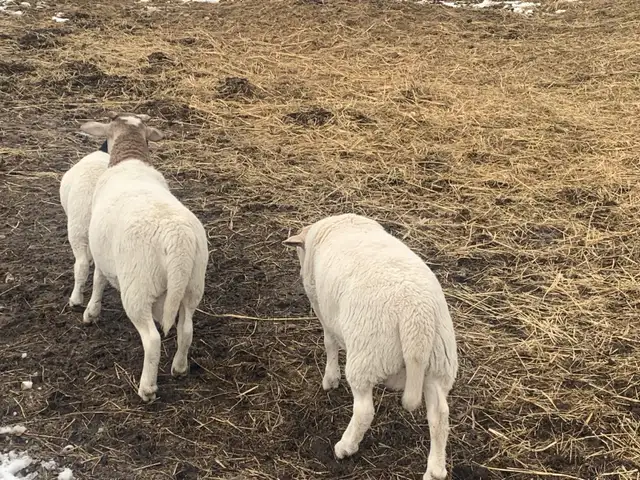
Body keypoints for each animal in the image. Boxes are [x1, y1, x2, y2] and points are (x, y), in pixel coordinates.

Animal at [79, 112, 209, 402]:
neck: (130, 159)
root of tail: (176, 239)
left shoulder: (101, 253)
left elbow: (98, 280)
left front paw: (91, 313)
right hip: (193, 284)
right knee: (186, 329)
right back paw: (179, 368)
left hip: (137, 288)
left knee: (152, 340)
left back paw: (147, 388)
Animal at [283, 213, 458, 480]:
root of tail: (416, 316)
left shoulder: (324, 310)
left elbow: (329, 343)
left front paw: (330, 380)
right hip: (439, 363)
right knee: (439, 416)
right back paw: (435, 470)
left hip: (367, 358)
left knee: (364, 411)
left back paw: (345, 446)